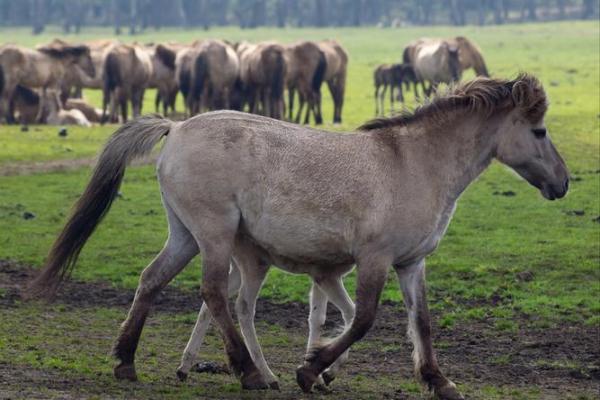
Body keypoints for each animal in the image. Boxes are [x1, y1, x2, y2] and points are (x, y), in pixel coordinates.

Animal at [29, 72, 568, 400]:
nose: (562, 183)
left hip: (185, 234)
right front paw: (311, 369)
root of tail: (176, 128)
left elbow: (423, 323)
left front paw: (439, 381)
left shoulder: (411, 264)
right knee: (215, 294)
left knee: (151, 280)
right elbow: (363, 319)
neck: (414, 163)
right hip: (215, 235)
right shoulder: (374, 259)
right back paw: (248, 372)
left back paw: (126, 362)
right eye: (539, 131)